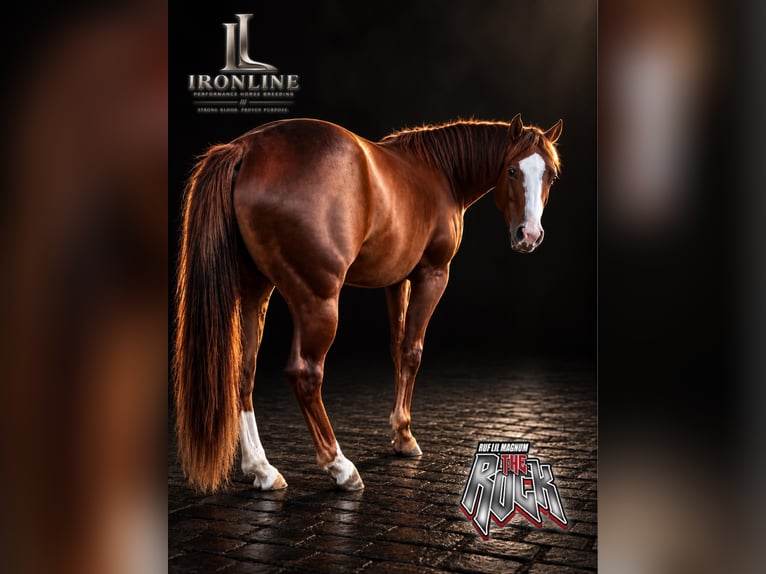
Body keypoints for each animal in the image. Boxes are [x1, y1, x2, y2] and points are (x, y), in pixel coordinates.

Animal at [174, 114, 562, 493]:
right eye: (511, 170)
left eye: (551, 175)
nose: (529, 235)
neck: (437, 172)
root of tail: (248, 147)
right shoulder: (432, 275)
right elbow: (413, 351)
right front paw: (405, 437)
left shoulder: (395, 280)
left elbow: (397, 349)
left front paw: (401, 433)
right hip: (317, 299)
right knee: (305, 373)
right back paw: (339, 466)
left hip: (255, 291)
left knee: (244, 372)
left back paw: (262, 469)